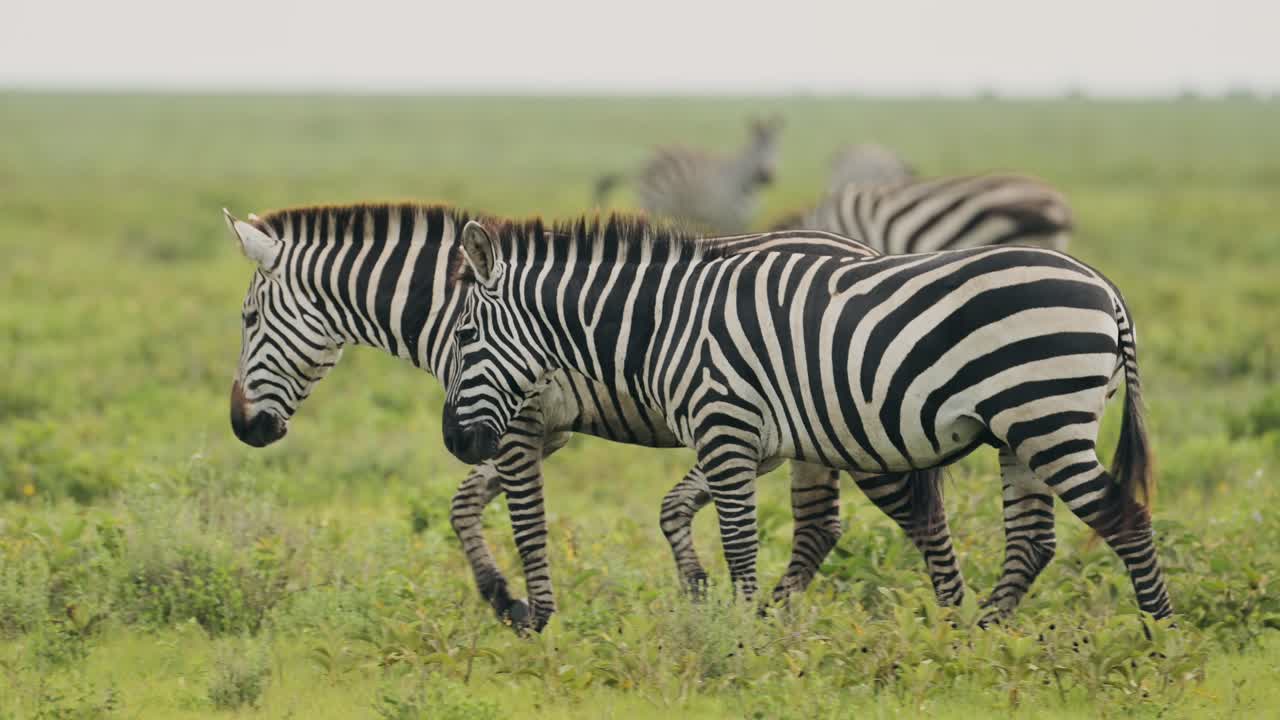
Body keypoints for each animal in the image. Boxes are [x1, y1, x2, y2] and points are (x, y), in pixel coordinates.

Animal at [221, 202, 957, 632]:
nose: (242, 428)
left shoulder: (520, 423)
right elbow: (464, 505)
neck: (456, 306)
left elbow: (527, 523)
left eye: (248, 319)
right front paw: (501, 596)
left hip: (851, 429)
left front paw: (539, 618)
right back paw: (774, 619)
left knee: (912, 521)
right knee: (820, 527)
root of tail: (863, 253)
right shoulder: (536, 429)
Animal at [440, 214, 1174, 622]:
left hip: (1048, 418)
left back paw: (1159, 639)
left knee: (1125, 519)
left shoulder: (726, 426)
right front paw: (737, 620)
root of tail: (1106, 289)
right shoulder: (737, 439)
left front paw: (738, 636)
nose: (453, 440)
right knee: (1031, 541)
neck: (664, 323)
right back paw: (980, 640)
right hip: (1018, 433)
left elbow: (739, 542)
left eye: (466, 336)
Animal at [592, 115, 783, 234]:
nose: (767, 176)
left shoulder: (742, 222)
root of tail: (642, 162)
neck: (745, 184)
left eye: (777, 148)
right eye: (756, 149)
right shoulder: (723, 218)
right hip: (652, 203)